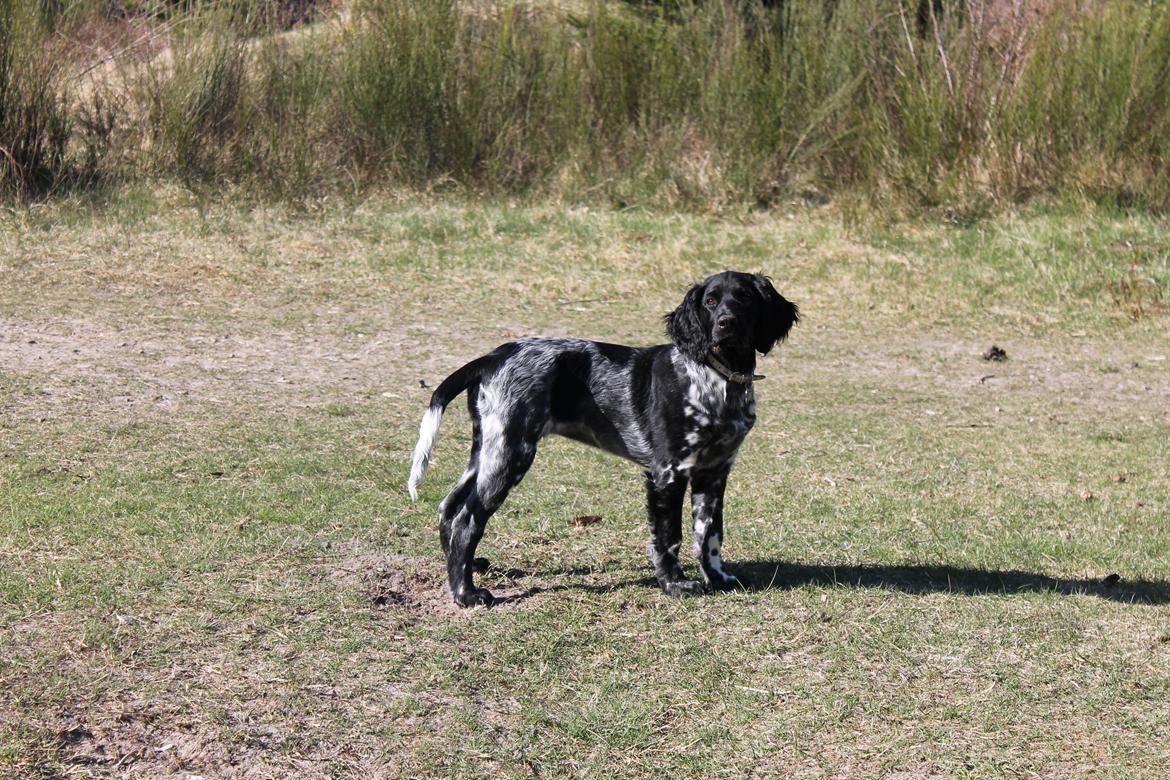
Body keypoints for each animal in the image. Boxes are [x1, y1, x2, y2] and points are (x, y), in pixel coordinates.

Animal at [407, 271, 800, 608]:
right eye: (711, 301)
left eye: (744, 298)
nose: (725, 323)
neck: (717, 378)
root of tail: (490, 358)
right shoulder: (668, 473)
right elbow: (668, 537)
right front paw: (674, 584)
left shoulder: (714, 472)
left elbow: (709, 534)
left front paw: (718, 578)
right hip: (510, 453)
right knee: (466, 520)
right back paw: (465, 593)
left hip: (488, 449)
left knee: (448, 507)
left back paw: (465, 571)